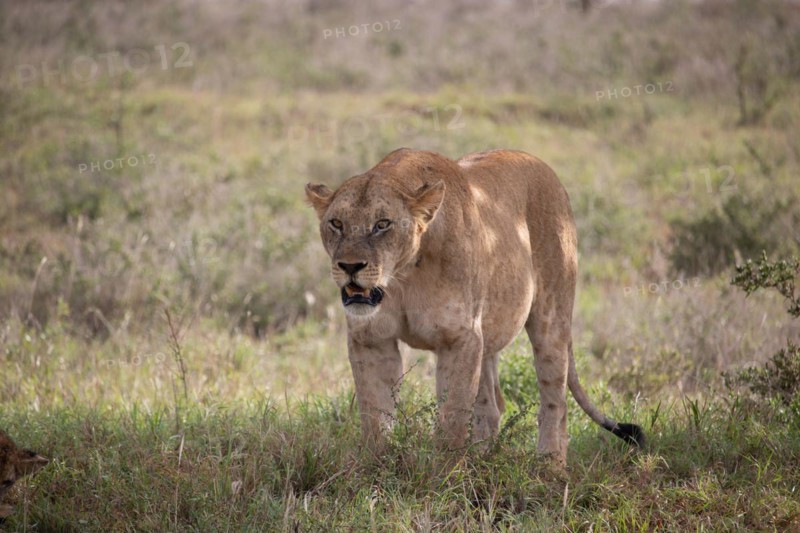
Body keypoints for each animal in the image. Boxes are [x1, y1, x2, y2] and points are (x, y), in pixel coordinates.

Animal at [305, 148, 643, 465]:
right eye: (336, 223)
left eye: (382, 224)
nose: (350, 266)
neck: (402, 278)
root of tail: (541, 164)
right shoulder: (371, 339)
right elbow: (375, 414)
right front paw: (375, 468)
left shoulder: (460, 337)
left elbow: (452, 417)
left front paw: (444, 476)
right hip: (488, 334)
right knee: (492, 405)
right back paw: (483, 460)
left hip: (551, 317)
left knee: (555, 400)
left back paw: (549, 467)